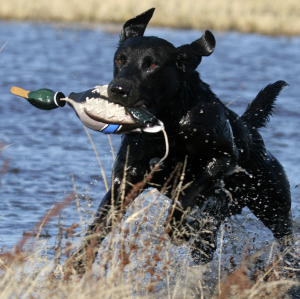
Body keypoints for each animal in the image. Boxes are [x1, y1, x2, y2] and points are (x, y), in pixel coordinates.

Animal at [69, 7, 294, 274]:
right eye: (120, 60)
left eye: (152, 64)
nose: (117, 89)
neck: (170, 124)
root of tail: (250, 128)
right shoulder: (126, 179)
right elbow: (98, 227)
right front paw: (74, 267)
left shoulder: (225, 159)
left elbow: (184, 199)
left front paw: (180, 231)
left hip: (273, 205)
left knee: (286, 239)